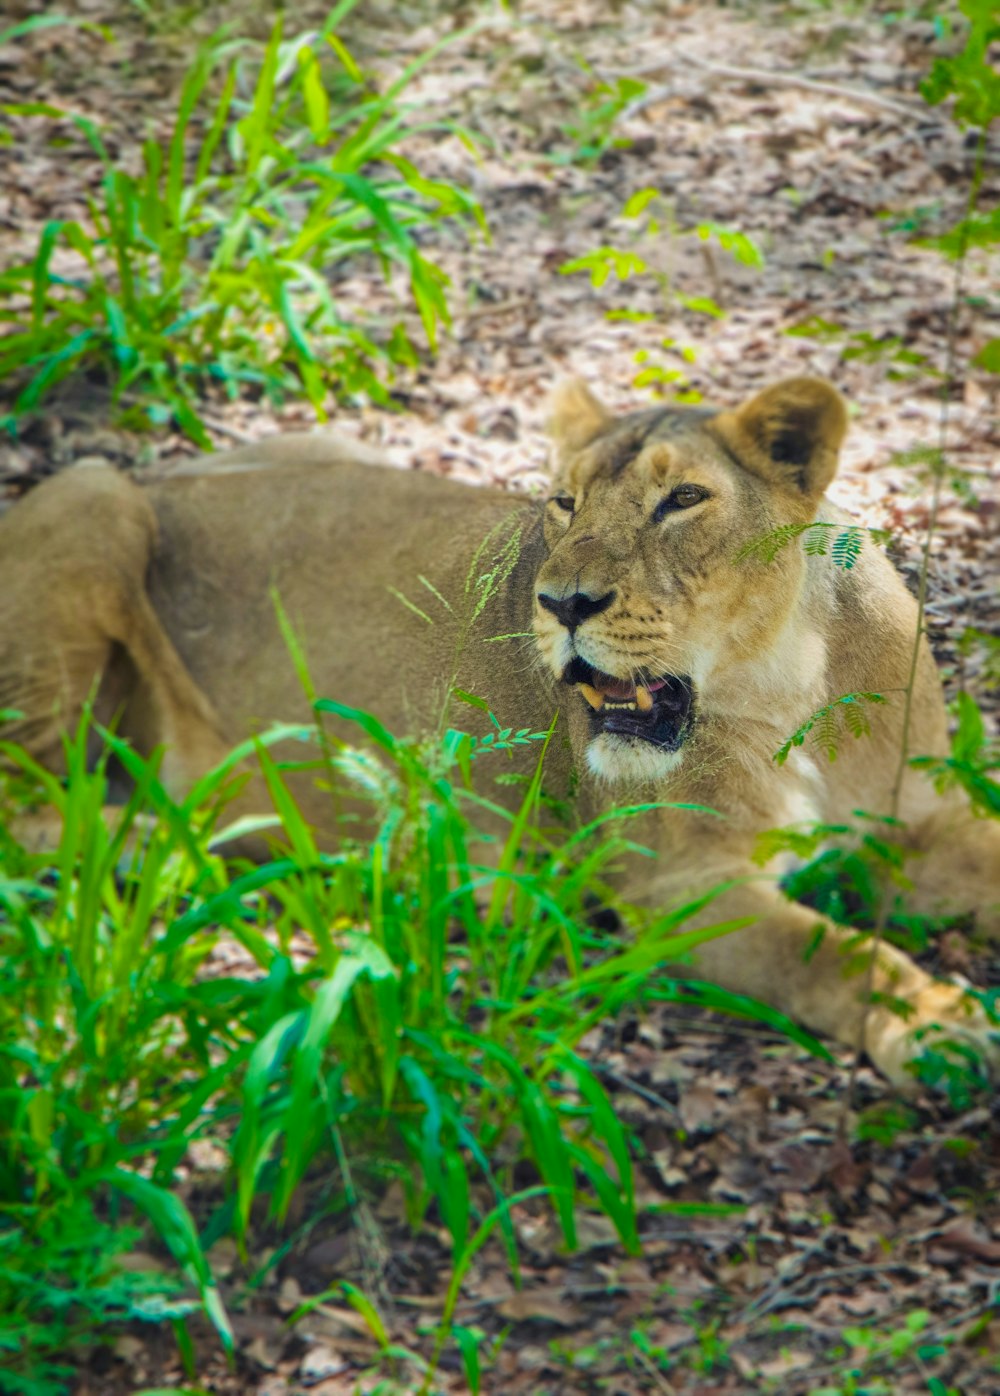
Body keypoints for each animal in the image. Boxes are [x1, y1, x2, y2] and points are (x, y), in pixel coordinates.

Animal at [0, 376, 994, 1083]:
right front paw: (939, 1029)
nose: (562, 603)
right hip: (97, 500)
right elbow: (834, 955)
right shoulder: (678, 886)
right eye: (563, 503)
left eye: (683, 501)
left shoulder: (923, 817)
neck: (784, 689)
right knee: (43, 808)